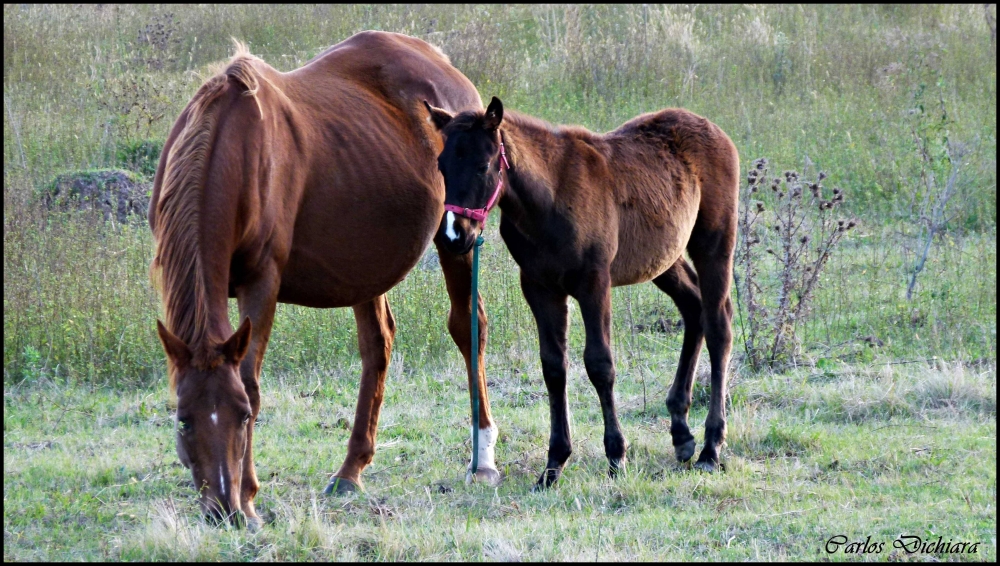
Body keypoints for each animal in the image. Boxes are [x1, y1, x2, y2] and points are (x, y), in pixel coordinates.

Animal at [149, 30, 504, 528]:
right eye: (182, 419)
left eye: (243, 416)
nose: (224, 510)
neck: (233, 146)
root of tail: (441, 64)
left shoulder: (262, 283)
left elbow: (251, 379)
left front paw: (252, 497)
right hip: (364, 265)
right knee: (378, 345)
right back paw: (351, 469)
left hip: (459, 240)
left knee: (468, 327)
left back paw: (483, 458)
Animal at [426, 97, 740, 488]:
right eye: (441, 165)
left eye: (483, 165)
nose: (455, 236)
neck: (550, 198)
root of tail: (711, 128)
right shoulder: (539, 288)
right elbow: (553, 367)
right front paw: (553, 465)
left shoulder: (594, 284)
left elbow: (600, 364)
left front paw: (616, 456)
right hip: (662, 259)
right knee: (693, 307)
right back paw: (682, 434)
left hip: (714, 244)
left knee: (718, 326)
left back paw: (711, 448)